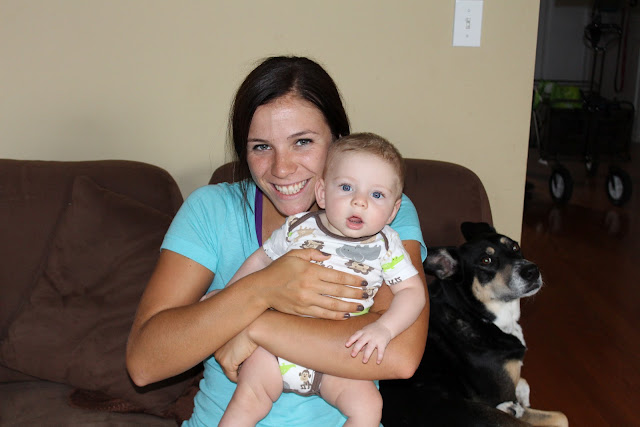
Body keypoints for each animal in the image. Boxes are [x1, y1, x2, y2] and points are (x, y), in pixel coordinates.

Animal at [380, 222, 568, 427]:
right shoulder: (499, 395)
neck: (474, 314)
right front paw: (516, 406)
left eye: (515, 247)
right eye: (486, 260)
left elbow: (524, 384)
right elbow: (561, 417)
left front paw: (519, 401)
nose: (532, 271)